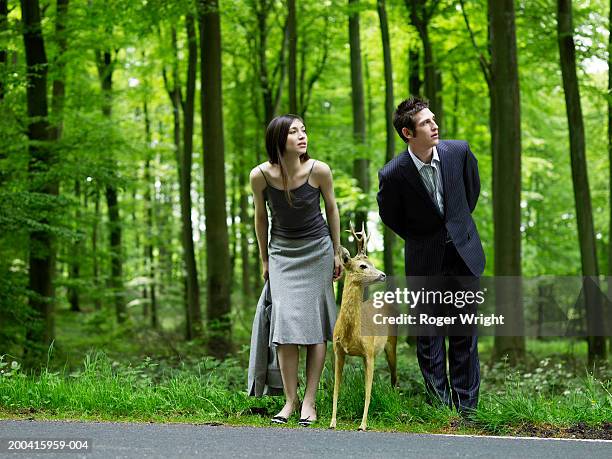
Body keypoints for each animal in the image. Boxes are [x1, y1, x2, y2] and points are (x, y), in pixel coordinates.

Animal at [328, 223, 400, 432]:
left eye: (373, 264)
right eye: (362, 265)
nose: (383, 274)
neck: (350, 333)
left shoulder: (369, 352)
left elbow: (368, 390)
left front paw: (363, 424)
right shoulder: (338, 351)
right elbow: (337, 387)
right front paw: (332, 422)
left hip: (391, 342)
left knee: (394, 377)